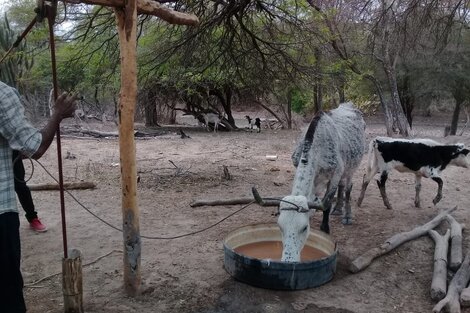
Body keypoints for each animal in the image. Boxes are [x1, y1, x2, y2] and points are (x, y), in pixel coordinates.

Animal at [278, 102, 366, 260]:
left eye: (304, 227)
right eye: (280, 226)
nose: (290, 258)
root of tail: (349, 104)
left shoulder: (335, 174)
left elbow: (327, 203)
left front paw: (325, 229)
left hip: (351, 166)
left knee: (348, 187)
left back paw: (347, 215)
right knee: (342, 186)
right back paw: (338, 209)